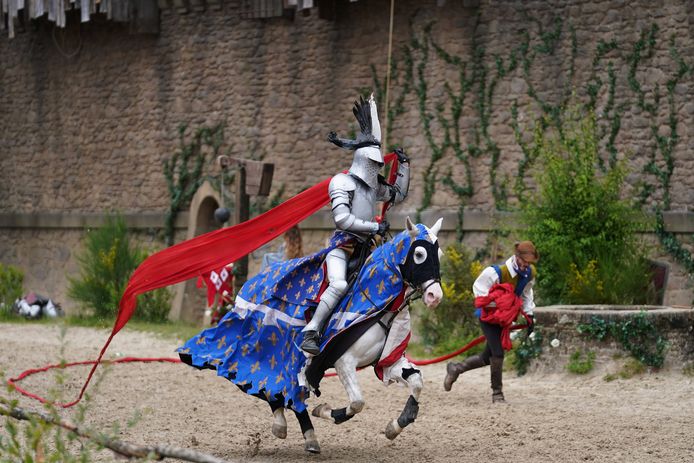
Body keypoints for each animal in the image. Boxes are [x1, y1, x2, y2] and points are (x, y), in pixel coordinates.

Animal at [178, 217, 444, 454]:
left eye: (439, 254)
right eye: (419, 254)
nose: (435, 296)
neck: (380, 304)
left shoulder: (389, 360)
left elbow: (417, 381)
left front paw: (395, 426)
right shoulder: (343, 362)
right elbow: (357, 403)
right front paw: (326, 411)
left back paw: (302, 433)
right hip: (275, 352)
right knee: (278, 387)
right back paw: (291, 427)